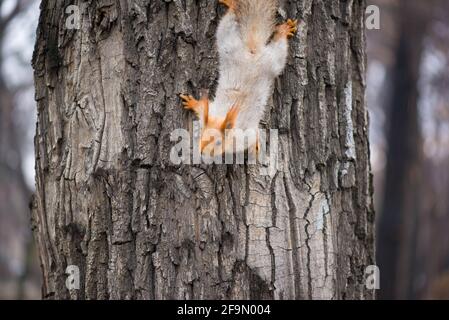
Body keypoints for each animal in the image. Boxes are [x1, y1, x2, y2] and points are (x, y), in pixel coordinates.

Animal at [178, 0, 298, 158]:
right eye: (202, 135)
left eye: (218, 142)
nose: (202, 151)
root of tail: (252, 51)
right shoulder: (211, 111)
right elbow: (201, 107)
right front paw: (192, 103)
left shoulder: (244, 137)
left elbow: (253, 137)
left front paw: (256, 145)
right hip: (229, 44)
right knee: (229, 21)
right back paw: (232, 4)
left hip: (273, 61)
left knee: (279, 47)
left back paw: (283, 30)